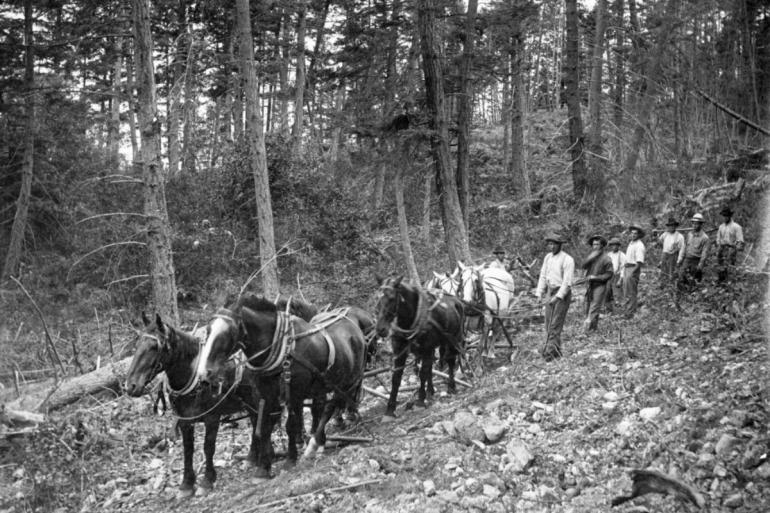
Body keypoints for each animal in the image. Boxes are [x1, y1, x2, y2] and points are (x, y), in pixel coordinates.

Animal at [123, 312, 260, 496]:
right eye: (137, 345)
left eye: (155, 347)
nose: (130, 386)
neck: (195, 376)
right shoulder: (184, 421)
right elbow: (188, 450)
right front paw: (186, 484)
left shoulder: (212, 418)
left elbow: (208, 447)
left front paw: (207, 480)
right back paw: (253, 457)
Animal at [196, 294, 368, 478]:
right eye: (208, 330)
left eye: (229, 332)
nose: (204, 374)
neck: (285, 348)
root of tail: (354, 327)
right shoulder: (264, 394)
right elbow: (264, 427)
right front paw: (263, 468)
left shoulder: (294, 394)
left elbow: (290, 425)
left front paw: (290, 459)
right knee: (323, 407)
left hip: (349, 380)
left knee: (332, 406)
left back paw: (316, 443)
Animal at [372, 276, 462, 416]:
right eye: (377, 298)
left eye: (391, 298)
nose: (381, 329)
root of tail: (456, 301)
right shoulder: (400, 351)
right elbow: (396, 378)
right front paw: (390, 409)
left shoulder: (427, 348)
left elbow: (423, 373)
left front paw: (420, 400)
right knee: (431, 366)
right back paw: (430, 391)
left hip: (452, 340)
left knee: (450, 361)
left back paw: (451, 386)